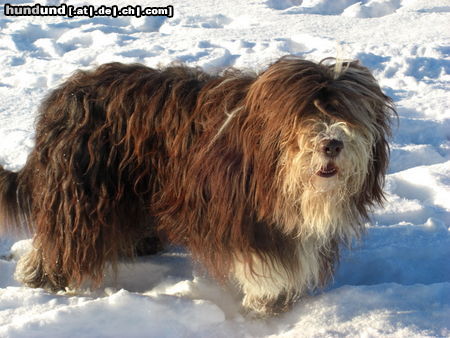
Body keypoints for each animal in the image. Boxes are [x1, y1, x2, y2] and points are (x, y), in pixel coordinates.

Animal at [0, 56, 394, 316]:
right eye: (306, 112)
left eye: (347, 113)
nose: (332, 143)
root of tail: (64, 96)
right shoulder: (252, 218)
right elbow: (270, 263)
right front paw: (267, 301)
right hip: (80, 188)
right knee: (63, 236)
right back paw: (47, 279)